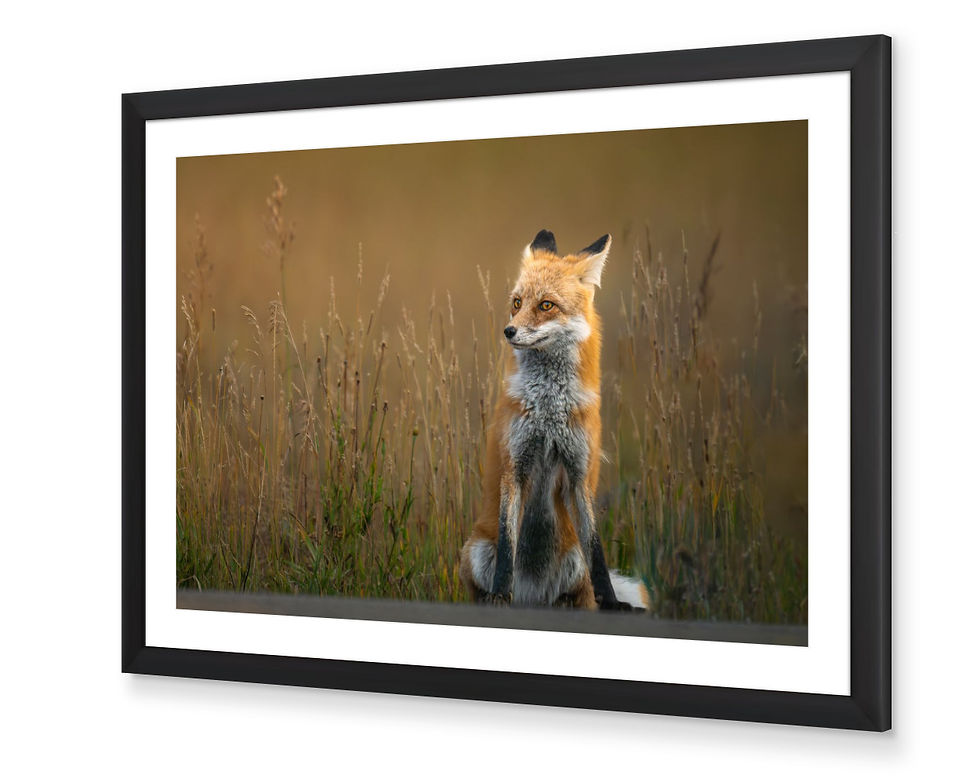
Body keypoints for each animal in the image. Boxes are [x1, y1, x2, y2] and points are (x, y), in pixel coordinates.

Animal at [460, 230, 645, 611]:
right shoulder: (514, 465)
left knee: (577, 591)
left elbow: (597, 549)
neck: (548, 412)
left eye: (546, 305)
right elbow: (508, 545)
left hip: (574, 563)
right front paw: (500, 594)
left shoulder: (579, 472)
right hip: (474, 551)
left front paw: (611, 601)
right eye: (517, 302)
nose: (508, 331)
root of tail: (532, 596)